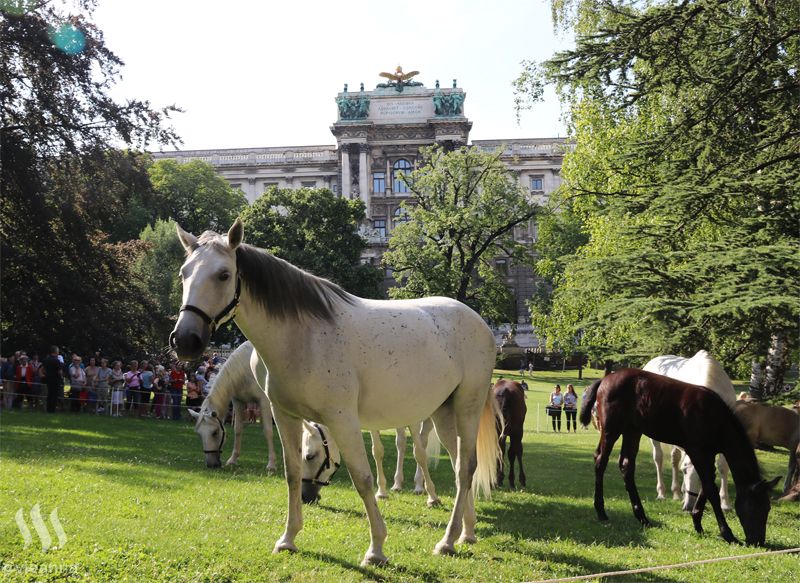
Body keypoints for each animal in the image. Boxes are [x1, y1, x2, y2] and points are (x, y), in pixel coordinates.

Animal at [170, 220, 500, 564]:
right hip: (443, 413)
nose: (185, 340)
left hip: (466, 408)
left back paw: (447, 540)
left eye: (223, 274)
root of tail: (479, 322)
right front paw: (288, 538)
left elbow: (363, 478)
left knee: (465, 468)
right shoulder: (284, 415)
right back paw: (466, 532)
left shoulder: (342, 419)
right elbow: (291, 473)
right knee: (460, 466)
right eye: (183, 273)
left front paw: (376, 548)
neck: (304, 337)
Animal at [580, 370, 780, 548]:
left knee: (626, 466)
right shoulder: (697, 451)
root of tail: (605, 379)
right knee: (600, 460)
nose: (758, 541)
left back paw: (642, 517)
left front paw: (697, 522)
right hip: (611, 429)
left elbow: (707, 485)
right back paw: (601, 511)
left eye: (768, 508)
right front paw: (727, 533)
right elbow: (710, 489)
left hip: (632, 431)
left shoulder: (708, 455)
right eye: (757, 507)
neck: (715, 418)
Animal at [648, 352, 736, 512]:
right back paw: (662, 493)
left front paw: (725, 504)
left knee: (674, 457)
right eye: (684, 471)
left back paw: (676, 493)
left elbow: (722, 466)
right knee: (658, 457)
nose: (689, 506)